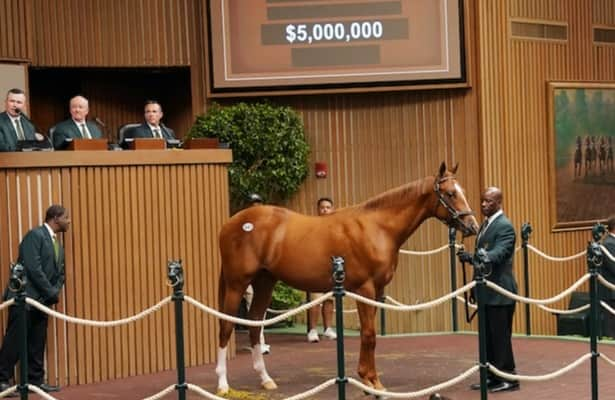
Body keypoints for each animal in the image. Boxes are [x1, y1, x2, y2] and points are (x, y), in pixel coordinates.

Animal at [214, 162, 478, 394]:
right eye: (451, 193)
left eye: (463, 191)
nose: (472, 226)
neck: (378, 227)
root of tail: (231, 222)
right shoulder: (365, 289)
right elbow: (369, 335)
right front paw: (372, 382)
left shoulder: (377, 292)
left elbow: (367, 334)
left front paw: (369, 379)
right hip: (237, 284)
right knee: (227, 326)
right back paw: (223, 384)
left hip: (265, 282)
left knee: (254, 324)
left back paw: (265, 379)